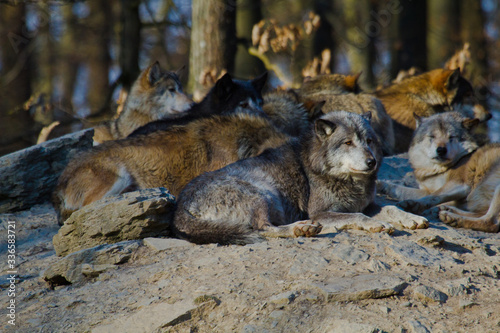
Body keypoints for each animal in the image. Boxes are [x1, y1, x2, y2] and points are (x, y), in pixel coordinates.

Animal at [174, 111, 428, 244]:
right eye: (348, 143)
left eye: (369, 141)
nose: (371, 162)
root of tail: (178, 210)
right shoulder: (320, 212)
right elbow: (357, 216)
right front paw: (377, 224)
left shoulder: (369, 204)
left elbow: (391, 208)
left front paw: (411, 218)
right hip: (261, 194)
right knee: (263, 229)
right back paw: (302, 229)